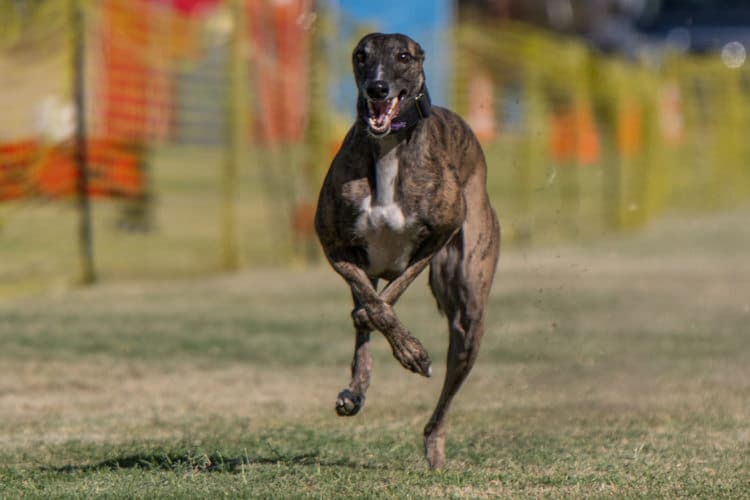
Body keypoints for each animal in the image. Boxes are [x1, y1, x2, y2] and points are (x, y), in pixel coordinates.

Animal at [314, 32, 502, 468]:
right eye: (361, 55)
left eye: (403, 56)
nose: (377, 89)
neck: (389, 149)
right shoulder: (333, 244)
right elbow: (376, 306)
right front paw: (398, 350)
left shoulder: (438, 237)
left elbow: (386, 300)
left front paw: (413, 354)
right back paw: (355, 390)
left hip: (468, 309)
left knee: (447, 391)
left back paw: (434, 446)